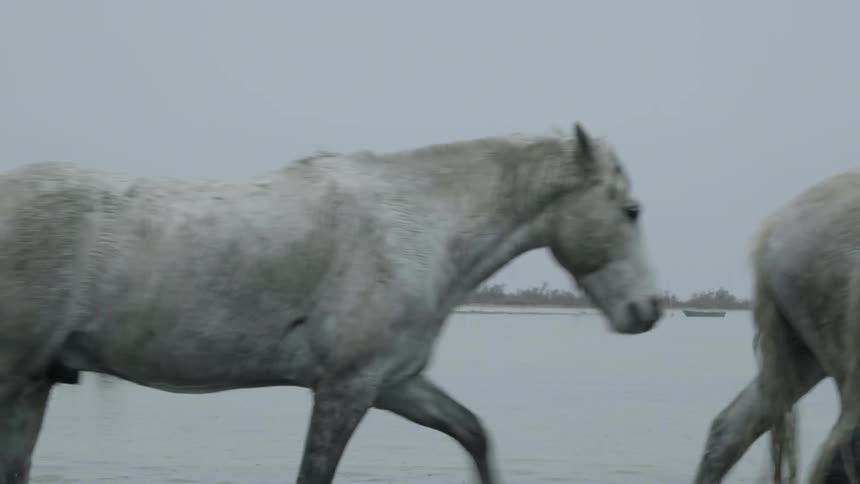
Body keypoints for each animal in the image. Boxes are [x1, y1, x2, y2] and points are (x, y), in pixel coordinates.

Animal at [0, 123, 663, 484]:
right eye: (631, 211)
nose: (649, 309)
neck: (417, 226)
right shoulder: (346, 388)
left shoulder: (394, 384)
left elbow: (474, 434)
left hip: (35, 380)